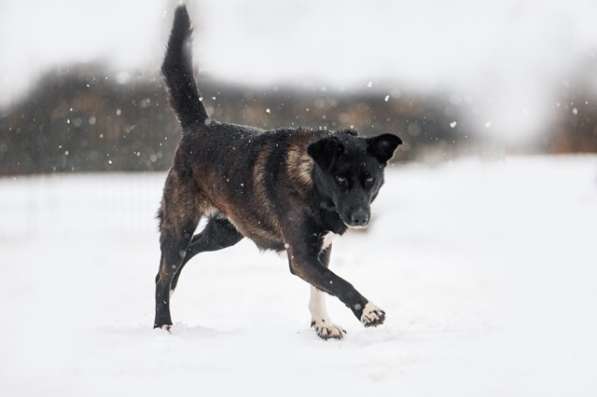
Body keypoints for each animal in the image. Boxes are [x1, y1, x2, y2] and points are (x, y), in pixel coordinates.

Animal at [156, 5, 402, 340]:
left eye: (370, 181)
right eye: (341, 180)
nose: (361, 219)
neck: (313, 187)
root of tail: (200, 125)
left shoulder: (320, 249)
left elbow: (320, 287)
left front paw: (322, 324)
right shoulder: (300, 255)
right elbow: (338, 282)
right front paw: (368, 311)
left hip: (226, 231)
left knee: (188, 253)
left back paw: (174, 288)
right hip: (179, 223)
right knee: (162, 272)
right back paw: (161, 323)